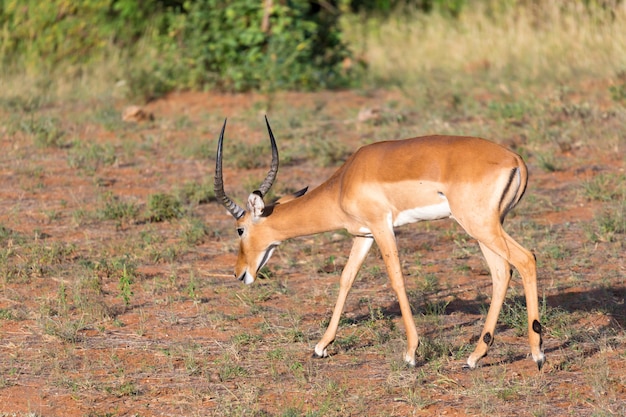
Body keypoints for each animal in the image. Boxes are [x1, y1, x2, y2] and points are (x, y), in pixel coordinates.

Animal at [212, 115, 544, 368]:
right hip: (485, 228)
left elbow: (396, 279)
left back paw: (537, 354)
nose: (239, 273)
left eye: (240, 229)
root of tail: (516, 159)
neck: (343, 182)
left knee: (525, 259)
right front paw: (321, 346)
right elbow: (346, 278)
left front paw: (411, 354)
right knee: (501, 272)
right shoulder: (364, 235)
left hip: (479, 226)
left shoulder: (382, 228)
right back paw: (475, 356)